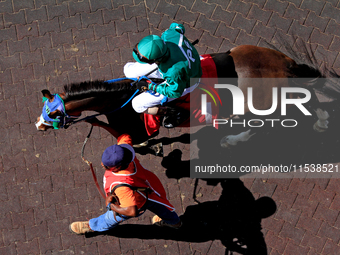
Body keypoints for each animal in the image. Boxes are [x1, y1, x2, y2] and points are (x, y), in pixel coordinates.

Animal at [34, 43, 338, 147]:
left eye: (52, 112)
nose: (38, 125)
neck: (122, 100)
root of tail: (286, 65)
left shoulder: (135, 128)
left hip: (260, 106)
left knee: (259, 128)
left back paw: (232, 140)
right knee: (309, 98)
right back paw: (323, 122)